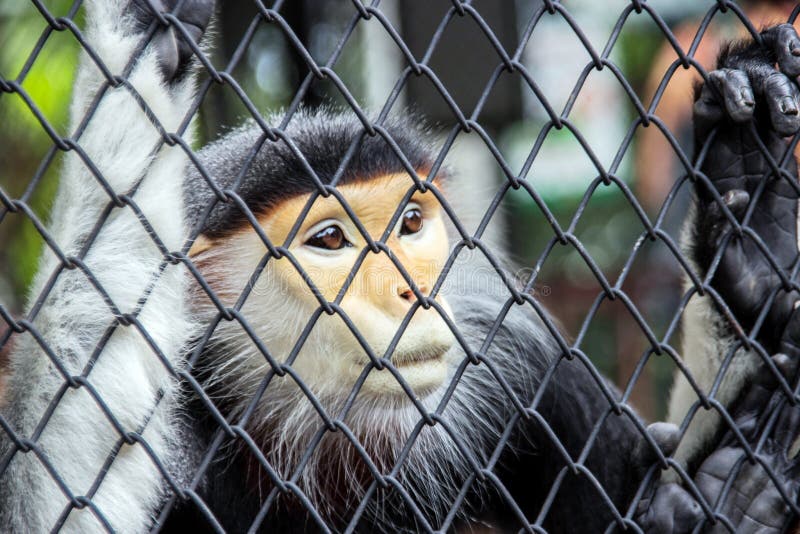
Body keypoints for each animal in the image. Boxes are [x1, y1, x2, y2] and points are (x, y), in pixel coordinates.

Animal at [0, 1, 799, 533]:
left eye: (409, 225)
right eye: (329, 241)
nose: (410, 288)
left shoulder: (531, 368)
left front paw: (756, 237)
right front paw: (143, 42)